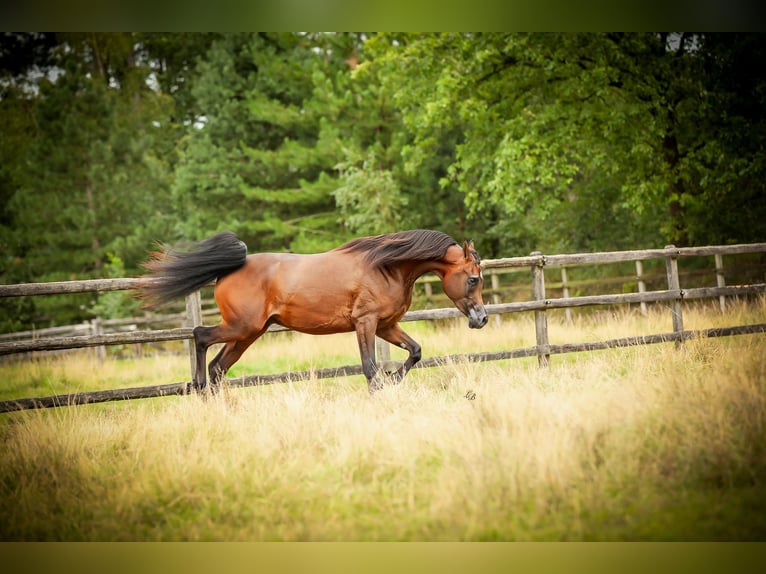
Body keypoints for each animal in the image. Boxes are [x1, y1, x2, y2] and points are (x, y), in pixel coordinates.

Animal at [140, 230, 488, 396]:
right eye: (473, 278)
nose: (481, 319)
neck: (386, 266)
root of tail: (229, 270)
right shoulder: (366, 322)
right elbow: (369, 367)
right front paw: (381, 390)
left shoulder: (386, 325)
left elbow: (415, 352)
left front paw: (392, 382)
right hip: (241, 327)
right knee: (200, 337)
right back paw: (197, 389)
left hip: (249, 334)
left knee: (218, 367)